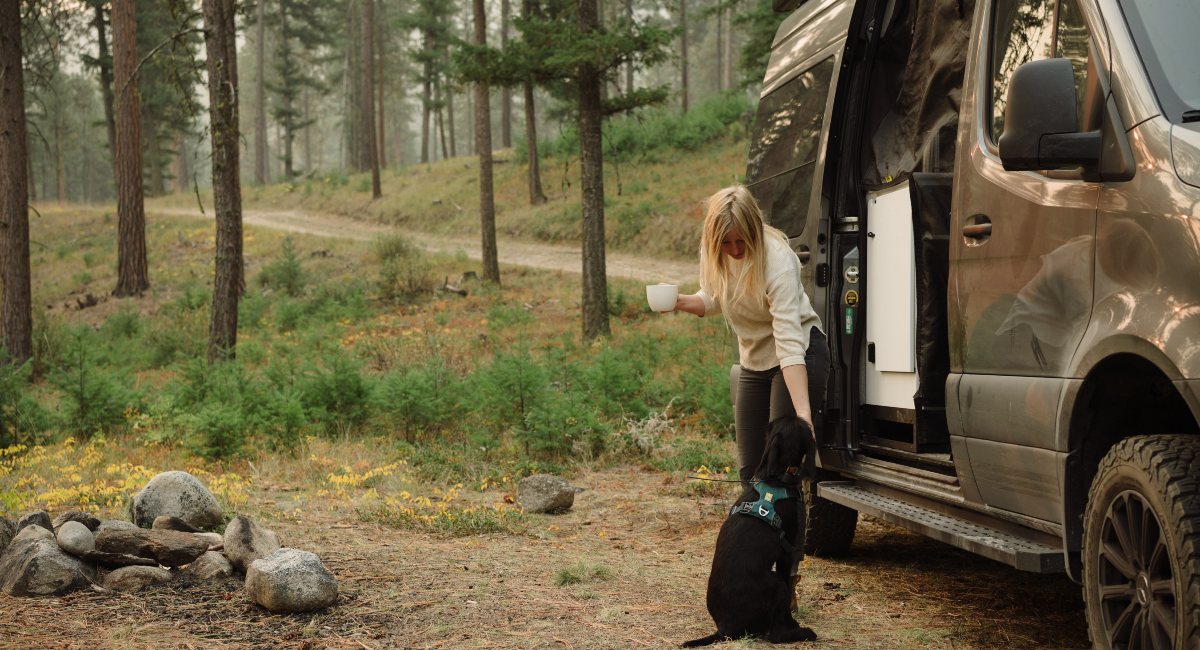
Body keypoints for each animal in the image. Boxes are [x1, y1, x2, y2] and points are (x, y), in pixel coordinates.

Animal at [681, 417, 820, 647]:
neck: (776, 478)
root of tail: (724, 628)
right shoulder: (787, 551)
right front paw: (794, 623)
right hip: (776, 584)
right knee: (776, 634)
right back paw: (804, 633)